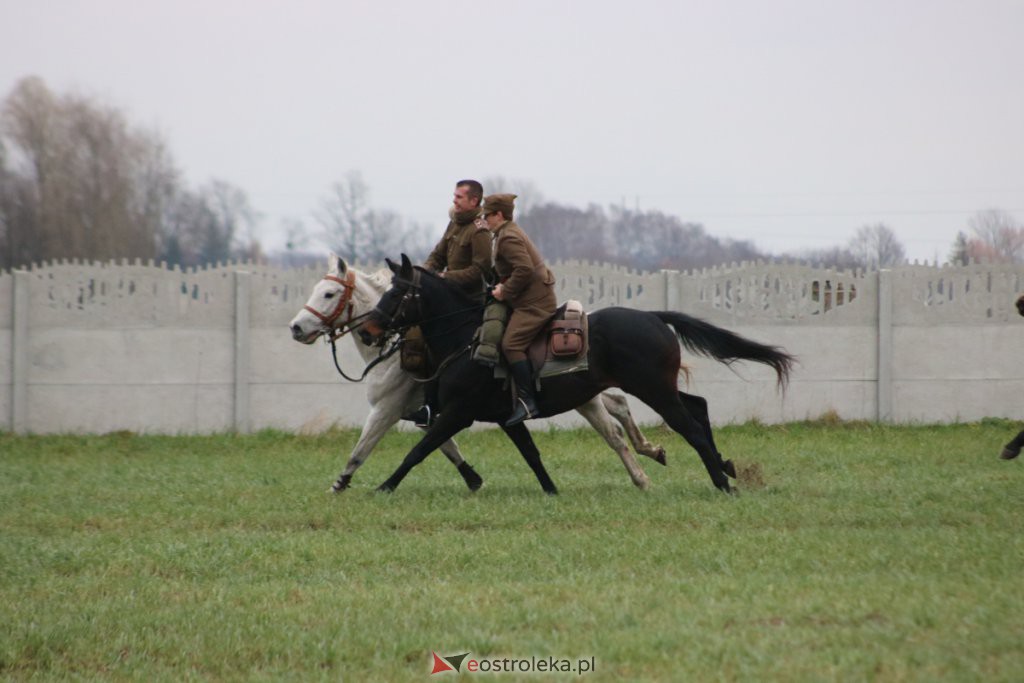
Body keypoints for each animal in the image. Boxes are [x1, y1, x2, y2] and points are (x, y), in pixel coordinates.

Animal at [290, 253, 671, 493]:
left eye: (329, 293)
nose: (296, 328)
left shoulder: (390, 409)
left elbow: (365, 449)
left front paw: (340, 485)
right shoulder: (430, 412)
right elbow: (445, 446)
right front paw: (473, 479)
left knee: (613, 430)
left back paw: (642, 471)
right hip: (585, 395)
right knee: (617, 410)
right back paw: (649, 456)